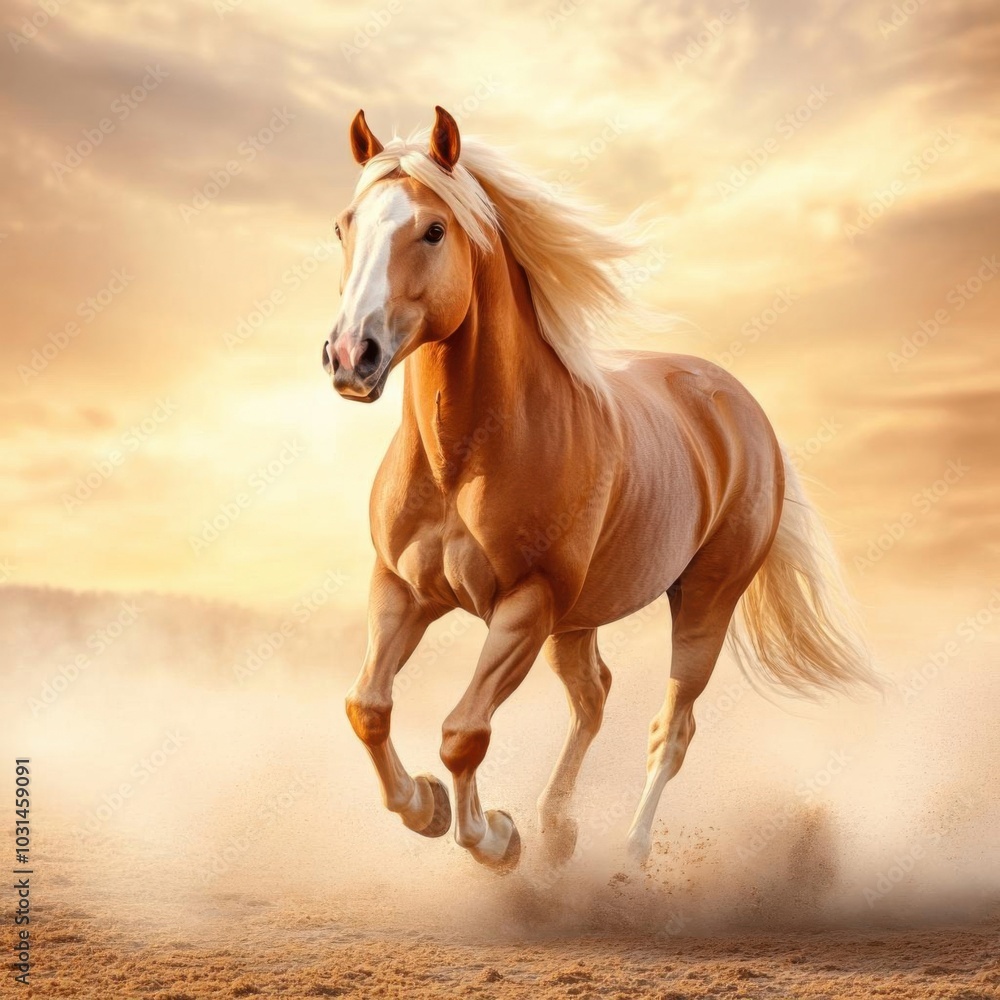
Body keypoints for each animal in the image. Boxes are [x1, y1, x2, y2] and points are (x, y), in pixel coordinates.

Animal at [322, 106, 878, 873]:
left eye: (433, 230)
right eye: (344, 225)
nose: (352, 357)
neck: (462, 460)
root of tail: (739, 405)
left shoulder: (524, 605)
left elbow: (464, 733)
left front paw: (495, 839)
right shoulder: (402, 589)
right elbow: (368, 708)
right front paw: (427, 807)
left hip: (703, 602)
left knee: (671, 728)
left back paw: (627, 860)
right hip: (578, 619)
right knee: (594, 696)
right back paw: (559, 830)